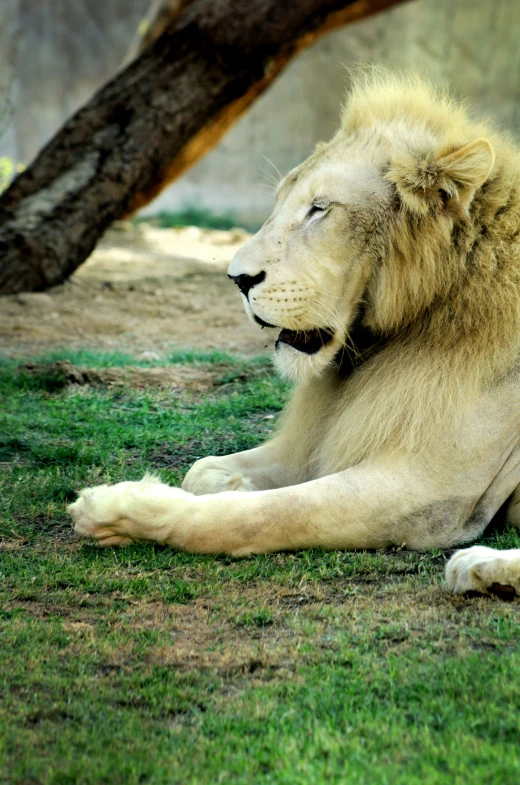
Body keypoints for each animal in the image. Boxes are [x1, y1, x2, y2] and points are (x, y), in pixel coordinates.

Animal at [70, 75, 520, 600]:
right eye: (280, 203)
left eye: (319, 209)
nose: (237, 279)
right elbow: (203, 470)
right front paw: (232, 484)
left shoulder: (430, 492)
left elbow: (265, 515)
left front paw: (114, 508)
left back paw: (478, 565)